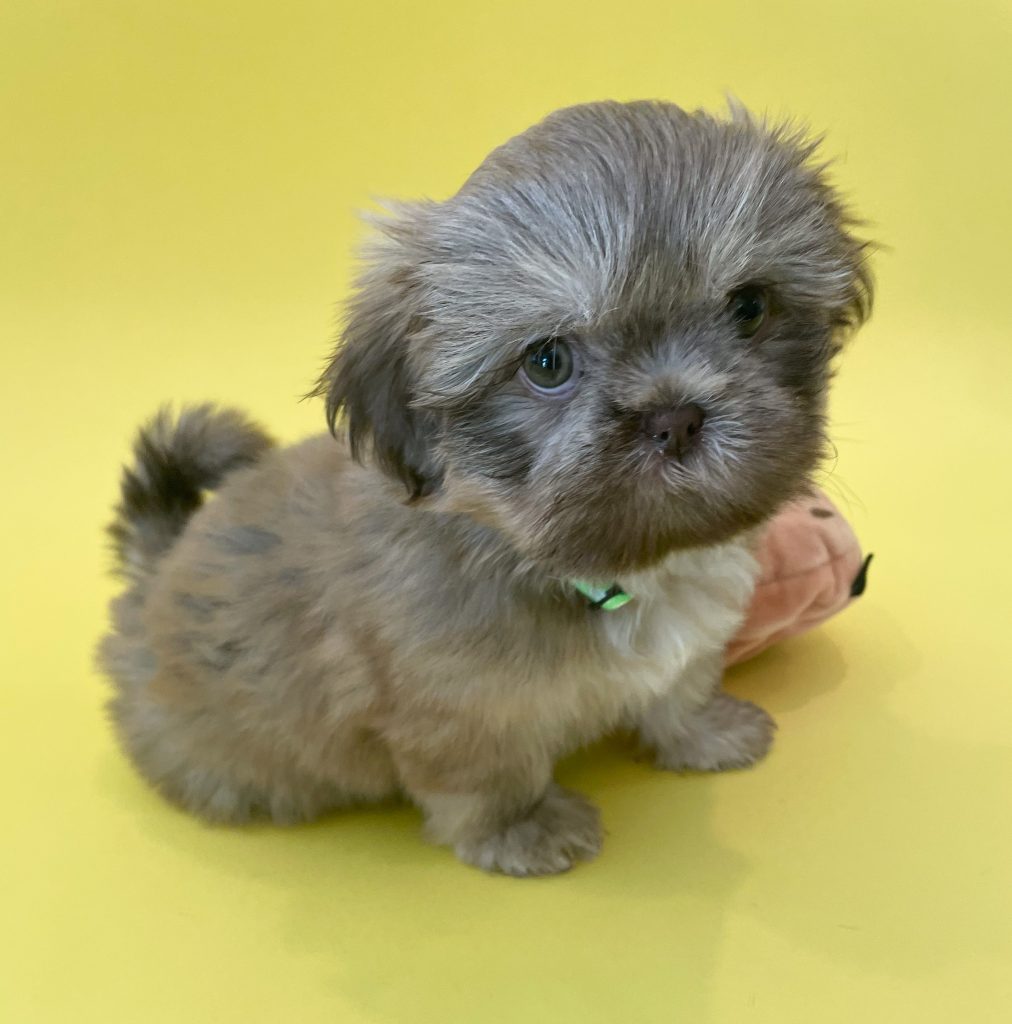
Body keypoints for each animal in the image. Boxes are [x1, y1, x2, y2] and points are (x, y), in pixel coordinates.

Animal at [100, 99, 868, 876]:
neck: (602, 570)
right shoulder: (457, 710)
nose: (674, 418)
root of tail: (155, 570)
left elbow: (681, 684)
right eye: (548, 362)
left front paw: (705, 731)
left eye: (749, 309)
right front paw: (521, 828)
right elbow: (488, 773)